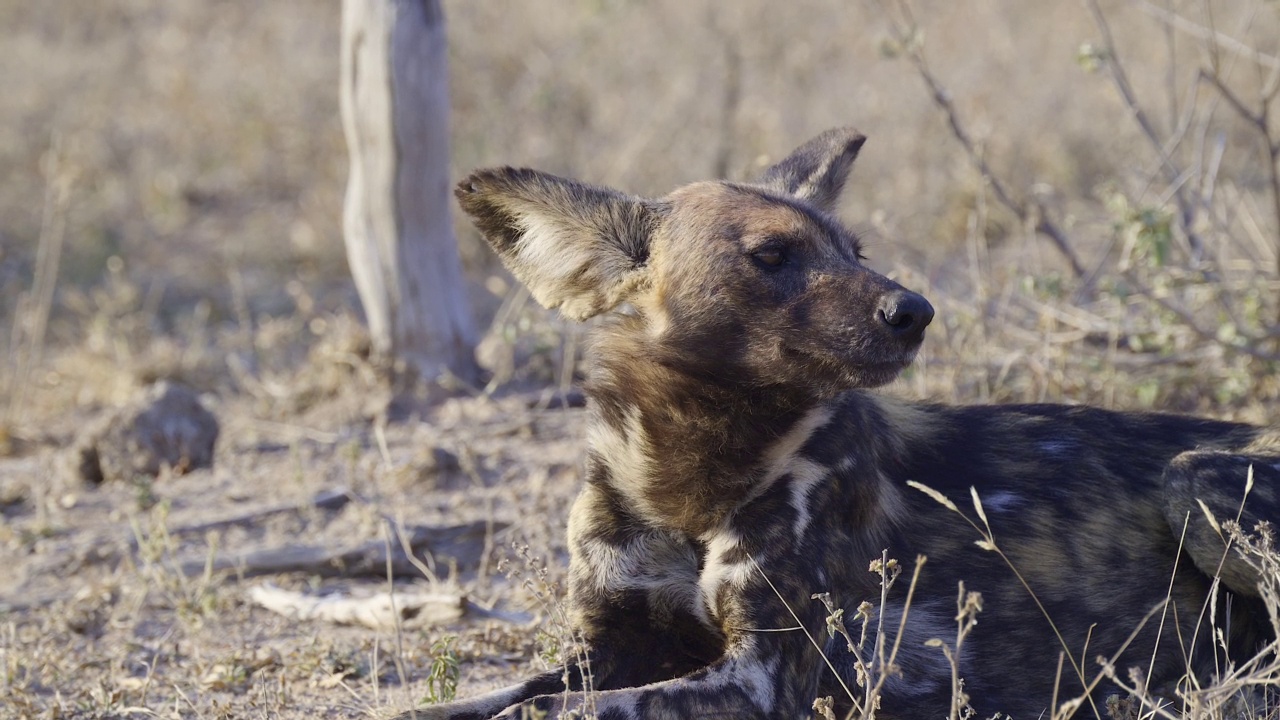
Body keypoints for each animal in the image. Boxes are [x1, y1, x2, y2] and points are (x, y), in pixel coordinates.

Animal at [412, 128, 1280, 717]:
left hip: (1194, 483)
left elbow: (549, 711)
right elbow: (484, 701)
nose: (915, 311)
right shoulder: (610, 647)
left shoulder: (761, 680)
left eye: (853, 250)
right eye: (771, 256)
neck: (687, 473)